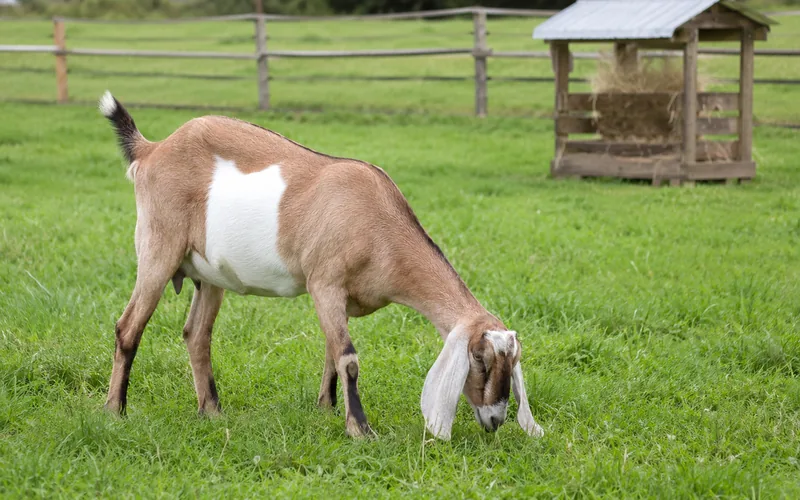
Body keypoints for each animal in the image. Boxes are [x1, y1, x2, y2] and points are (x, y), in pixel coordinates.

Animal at [98, 91, 544, 440]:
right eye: (481, 360)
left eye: (512, 364)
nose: (496, 420)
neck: (377, 222)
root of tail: (152, 149)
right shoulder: (324, 283)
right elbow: (348, 357)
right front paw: (360, 430)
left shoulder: (341, 298)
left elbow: (332, 351)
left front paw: (326, 410)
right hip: (158, 247)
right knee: (129, 326)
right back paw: (115, 411)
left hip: (210, 274)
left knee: (196, 335)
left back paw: (211, 411)